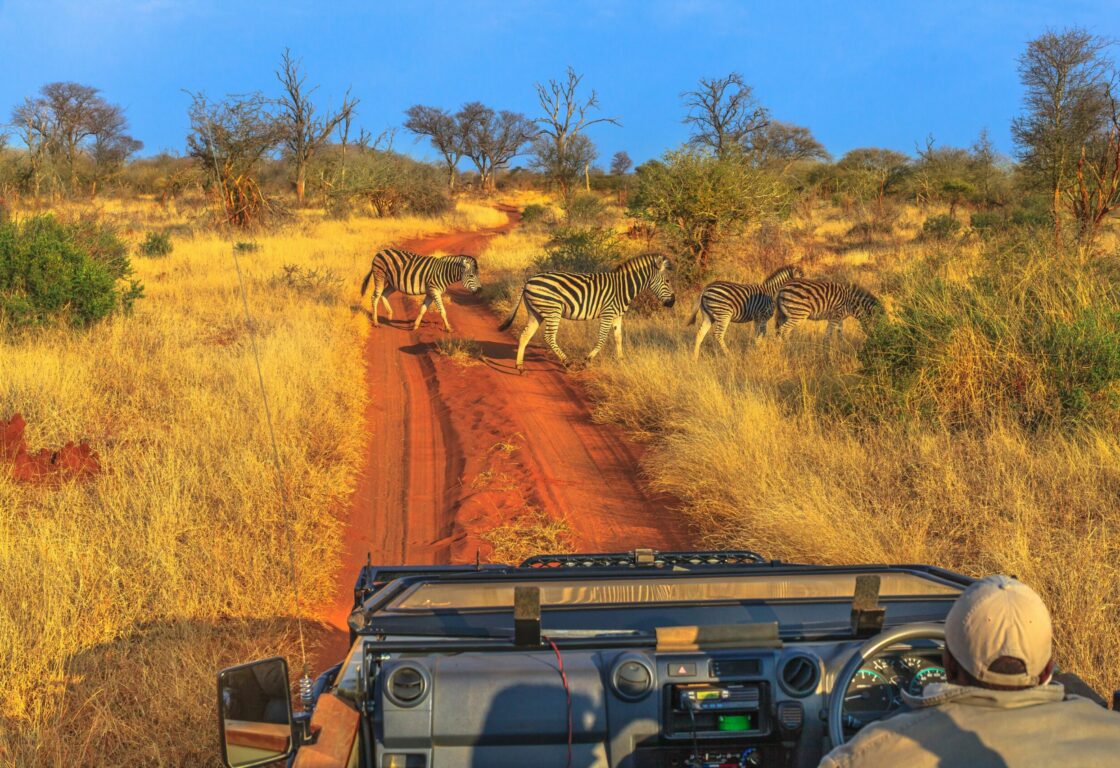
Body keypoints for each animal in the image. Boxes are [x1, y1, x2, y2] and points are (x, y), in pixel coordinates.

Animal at [497, 253, 676, 372]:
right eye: (668, 281)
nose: (673, 302)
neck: (623, 287)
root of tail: (529, 280)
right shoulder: (608, 313)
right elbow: (602, 338)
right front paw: (586, 361)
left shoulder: (617, 315)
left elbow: (618, 338)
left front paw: (621, 360)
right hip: (553, 310)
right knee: (548, 337)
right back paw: (567, 362)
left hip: (535, 312)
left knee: (525, 335)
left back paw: (520, 366)